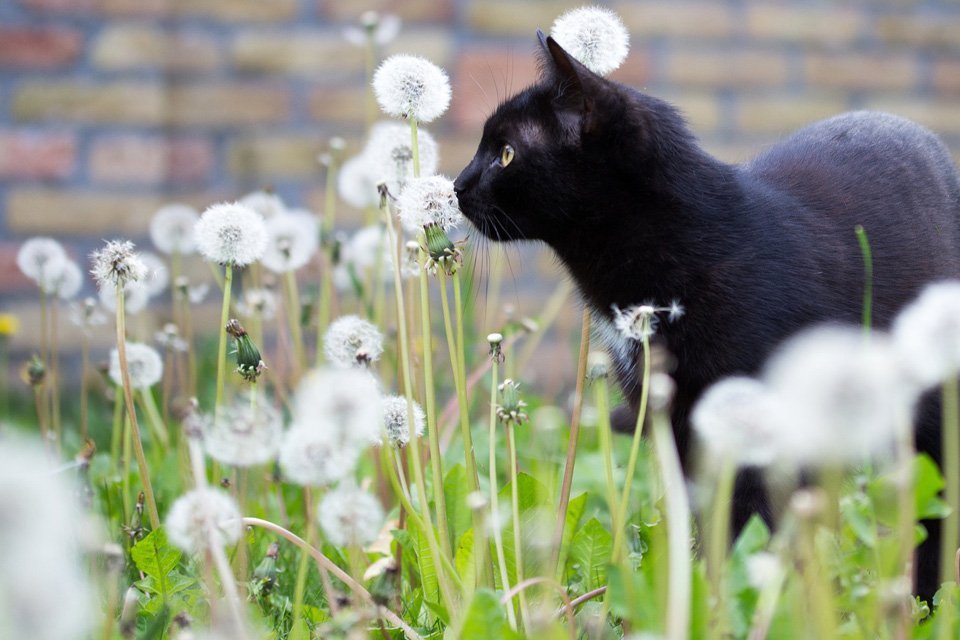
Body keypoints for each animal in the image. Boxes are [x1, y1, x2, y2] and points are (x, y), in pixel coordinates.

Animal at [456, 30, 960, 600]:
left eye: (506, 154)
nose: (456, 185)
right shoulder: (673, 423)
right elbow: (707, 521)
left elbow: (754, 523)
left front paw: (750, 598)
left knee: (933, 513)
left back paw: (927, 601)